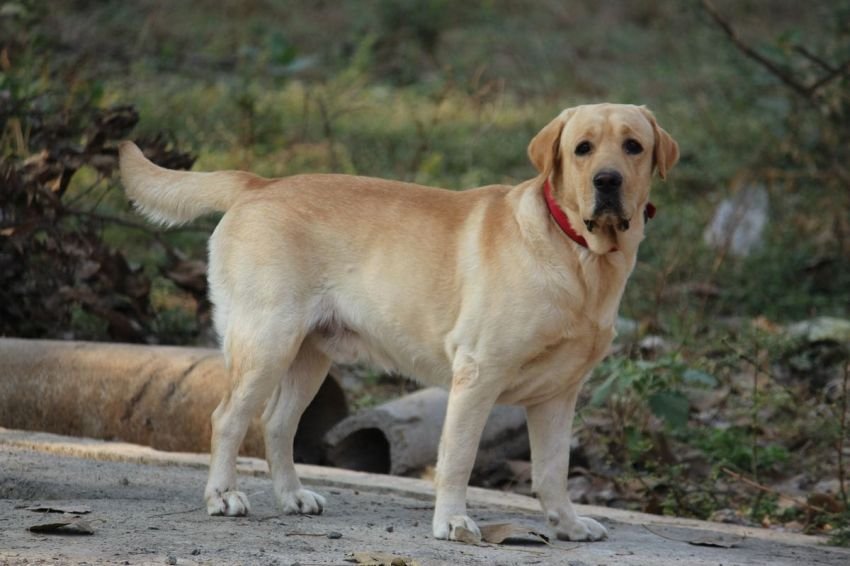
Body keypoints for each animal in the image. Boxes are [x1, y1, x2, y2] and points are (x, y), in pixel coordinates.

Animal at [117, 104, 676, 544]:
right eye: (583, 149)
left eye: (632, 146)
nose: (608, 181)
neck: (580, 256)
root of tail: (259, 183)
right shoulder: (478, 376)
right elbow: (458, 459)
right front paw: (453, 523)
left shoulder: (559, 396)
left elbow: (552, 471)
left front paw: (567, 525)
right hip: (266, 343)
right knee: (227, 419)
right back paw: (223, 496)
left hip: (309, 356)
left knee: (276, 424)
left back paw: (292, 496)